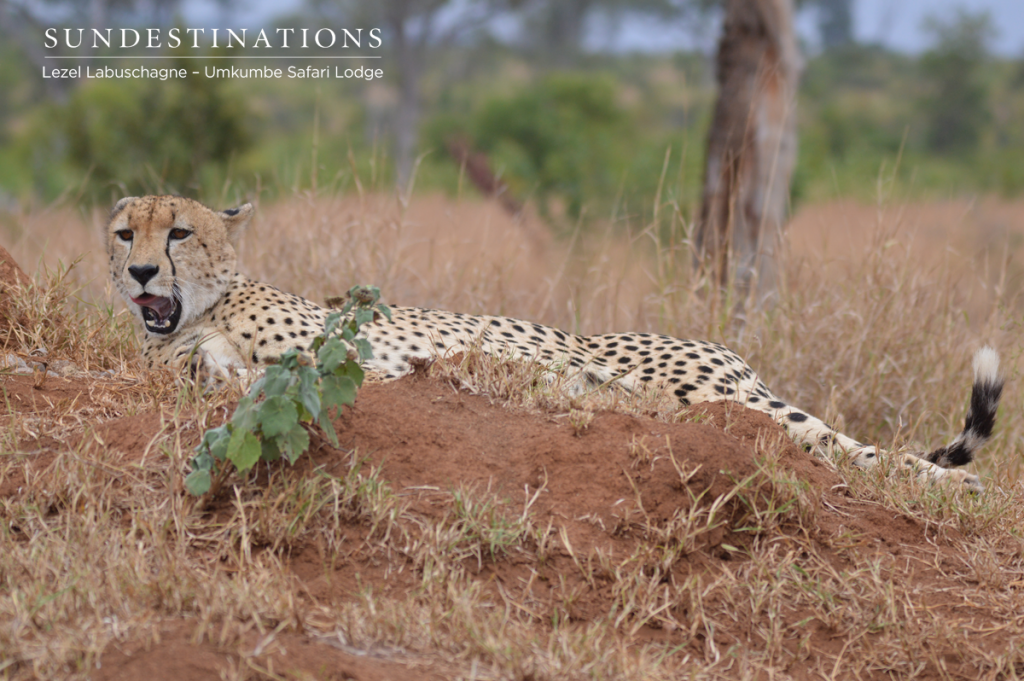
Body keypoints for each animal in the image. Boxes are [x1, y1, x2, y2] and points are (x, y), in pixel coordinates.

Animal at [108, 193, 1003, 491]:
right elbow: (216, 376)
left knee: (846, 446)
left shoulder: (351, 351)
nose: (142, 270)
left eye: (179, 230)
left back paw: (958, 486)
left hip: (710, 389)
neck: (208, 311)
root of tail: (732, 356)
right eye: (125, 231)